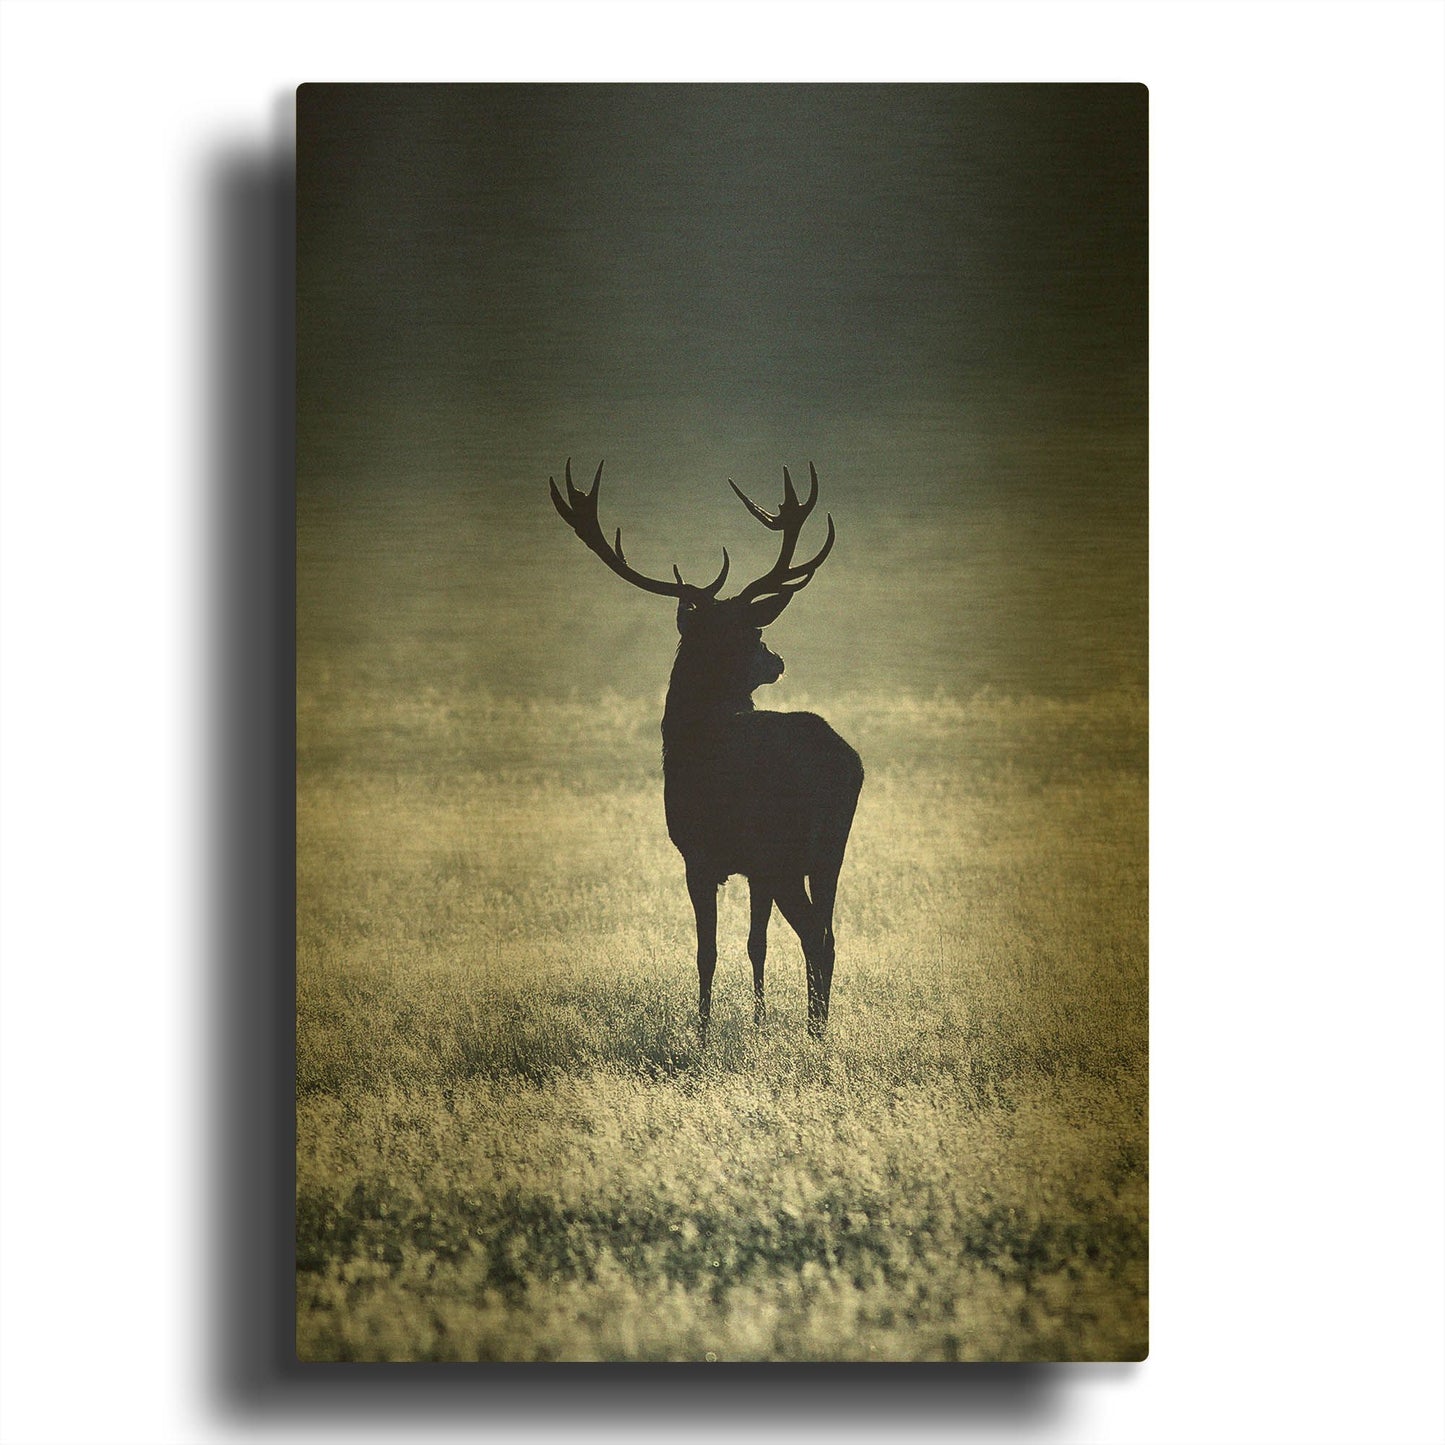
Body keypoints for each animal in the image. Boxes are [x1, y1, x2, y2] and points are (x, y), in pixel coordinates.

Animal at [549, 458, 864, 1038]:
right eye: (752, 634)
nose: (777, 660)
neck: (688, 735)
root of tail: (845, 764)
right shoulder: (752, 868)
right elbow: (756, 944)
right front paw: (758, 1022)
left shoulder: (698, 854)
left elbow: (707, 951)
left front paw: (701, 1033)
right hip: (831, 849)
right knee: (828, 934)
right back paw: (819, 1029)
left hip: (785, 850)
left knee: (814, 934)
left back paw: (815, 1035)